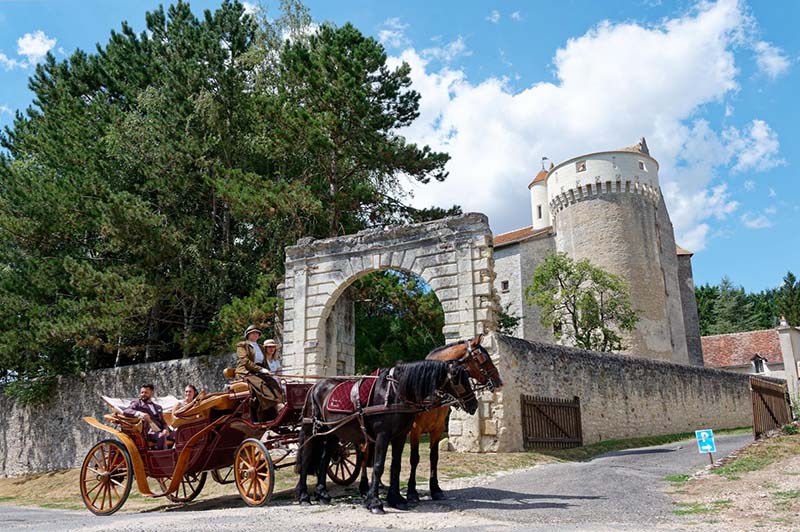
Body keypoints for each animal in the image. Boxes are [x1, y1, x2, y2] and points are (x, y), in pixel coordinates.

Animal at [296, 360, 478, 512]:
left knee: (324, 459)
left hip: (333, 433)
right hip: (311, 431)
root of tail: (314, 386)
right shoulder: (383, 436)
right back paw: (304, 496)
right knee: (306, 459)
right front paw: (374, 502)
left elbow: (395, 466)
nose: (474, 404)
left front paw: (396, 499)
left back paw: (321, 494)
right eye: (457, 379)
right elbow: (378, 466)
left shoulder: (400, 436)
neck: (396, 393)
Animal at [406, 334, 500, 504]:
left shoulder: (437, 430)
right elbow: (414, 459)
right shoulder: (415, 430)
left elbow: (434, 457)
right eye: (482, 359)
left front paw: (435, 489)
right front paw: (411, 492)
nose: (499, 381)